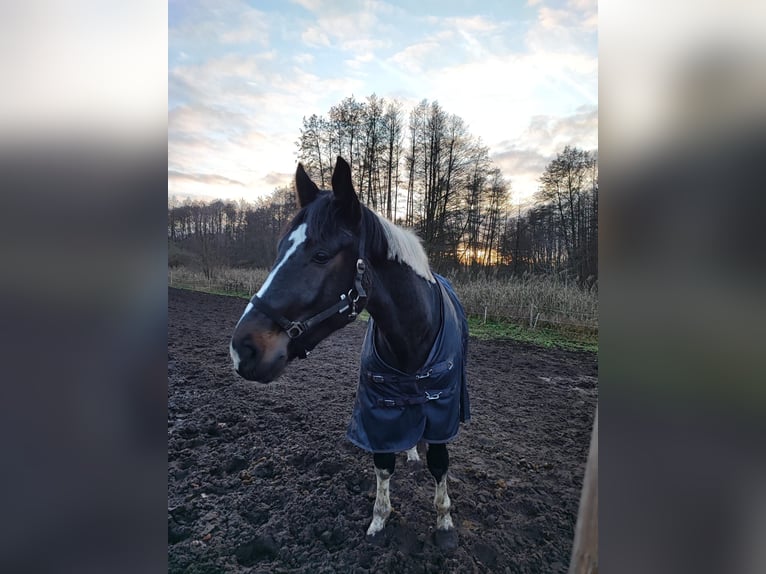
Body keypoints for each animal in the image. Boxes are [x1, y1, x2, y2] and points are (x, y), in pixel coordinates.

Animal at [229, 156, 470, 550]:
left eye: (321, 255)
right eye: (279, 250)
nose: (243, 350)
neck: (411, 342)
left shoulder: (443, 409)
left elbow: (439, 462)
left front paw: (445, 524)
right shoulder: (379, 412)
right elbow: (384, 464)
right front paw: (379, 521)